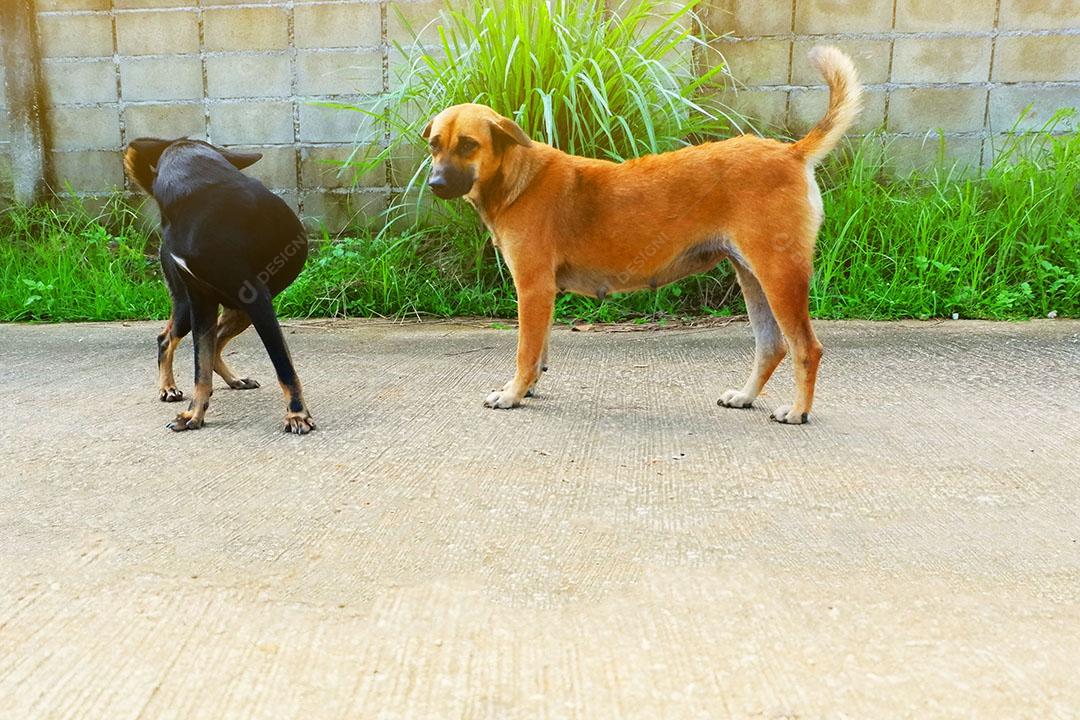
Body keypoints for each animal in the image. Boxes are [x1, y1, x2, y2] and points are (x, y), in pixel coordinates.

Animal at [125, 139, 315, 436]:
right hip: (191, 306)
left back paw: (234, 380)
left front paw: (296, 414)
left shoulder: (255, 299)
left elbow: (283, 366)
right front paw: (194, 412)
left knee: (213, 342)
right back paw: (168, 387)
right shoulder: (200, 302)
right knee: (167, 339)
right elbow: (199, 366)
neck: (192, 198)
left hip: (239, 310)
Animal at [421, 45, 859, 425]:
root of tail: (790, 152)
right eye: (434, 145)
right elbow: (539, 349)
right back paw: (746, 396)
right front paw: (526, 389)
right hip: (753, 277)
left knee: (806, 348)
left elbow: (525, 352)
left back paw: (798, 411)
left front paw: (512, 394)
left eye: (468, 144)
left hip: (779, 276)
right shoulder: (542, 293)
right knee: (772, 346)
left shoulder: (532, 288)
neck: (516, 178)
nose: (435, 184)